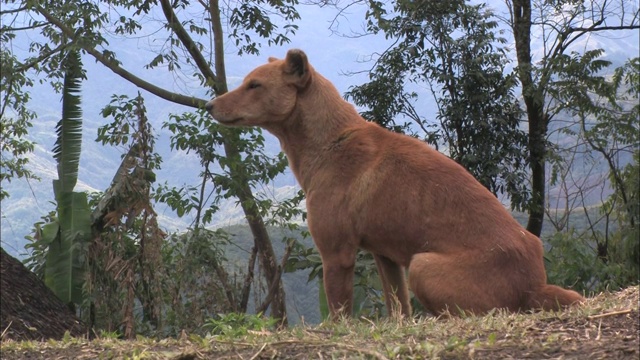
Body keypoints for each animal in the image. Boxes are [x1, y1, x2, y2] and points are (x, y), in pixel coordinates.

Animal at [206, 48, 584, 318]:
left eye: (254, 85)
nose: (209, 105)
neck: (331, 141)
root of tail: (534, 284)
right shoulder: (385, 256)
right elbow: (399, 309)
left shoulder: (336, 255)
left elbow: (340, 314)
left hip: (423, 265)